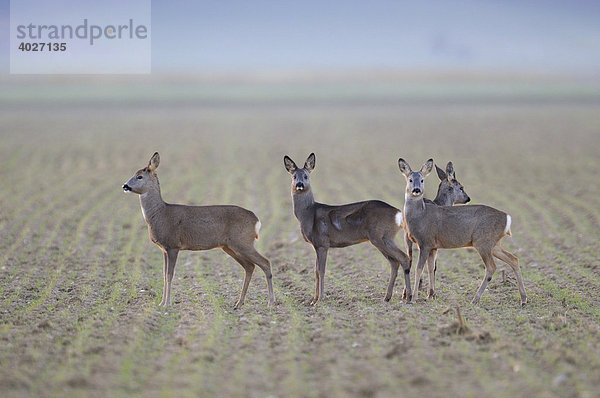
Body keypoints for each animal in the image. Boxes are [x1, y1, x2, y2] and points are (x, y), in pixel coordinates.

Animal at [122, 152, 276, 308]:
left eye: (139, 176)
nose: (125, 185)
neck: (160, 214)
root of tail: (256, 220)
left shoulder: (173, 245)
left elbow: (170, 275)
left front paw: (167, 303)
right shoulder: (164, 249)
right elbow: (164, 275)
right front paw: (161, 303)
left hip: (243, 242)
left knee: (265, 263)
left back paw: (270, 302)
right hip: (229, 246)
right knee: (250, 266)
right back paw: (239, 303)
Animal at [284, 152, 410, 304]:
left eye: (306, 176)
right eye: (294, 176)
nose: (299, 185)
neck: (308, 214)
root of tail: (398, 213)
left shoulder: (322, 243)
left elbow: (321, 271)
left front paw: (320, 299)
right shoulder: (317, 245)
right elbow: (315, 271)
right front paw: (313, 300)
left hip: (381, 236)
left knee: (403, 258)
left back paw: (408, 297)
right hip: (383, 238)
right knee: (394, 262)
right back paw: (387, 297)